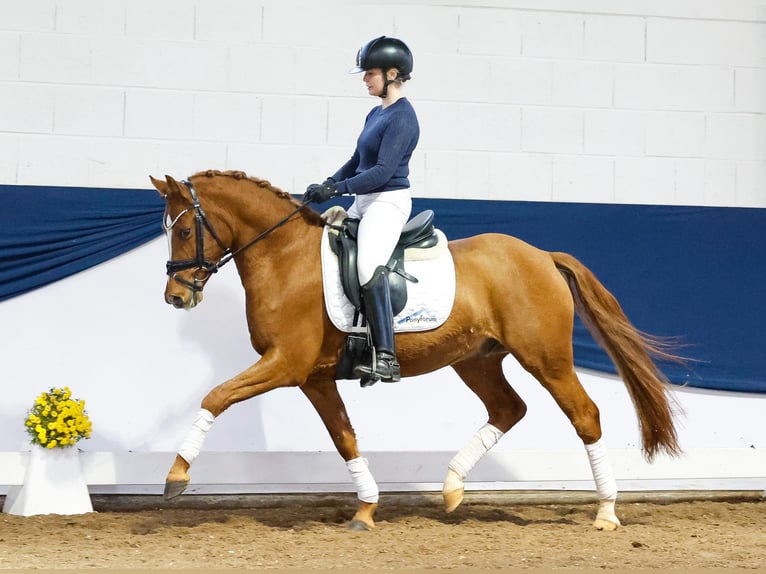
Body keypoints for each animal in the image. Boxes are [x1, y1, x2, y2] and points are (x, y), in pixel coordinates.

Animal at [150, 171, 684, 536]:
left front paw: (176, 476)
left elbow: (216, 396)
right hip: (476, 360)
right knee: (508, 409)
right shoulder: (313, 378)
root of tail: (543, 255)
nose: (175, 297)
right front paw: (366, 509)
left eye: (184, 231)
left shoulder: (285, 365)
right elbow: (344, 437)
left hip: (545, 358)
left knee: (584, 414)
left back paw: (607, 512)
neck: (284, 257)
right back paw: (452, 488)